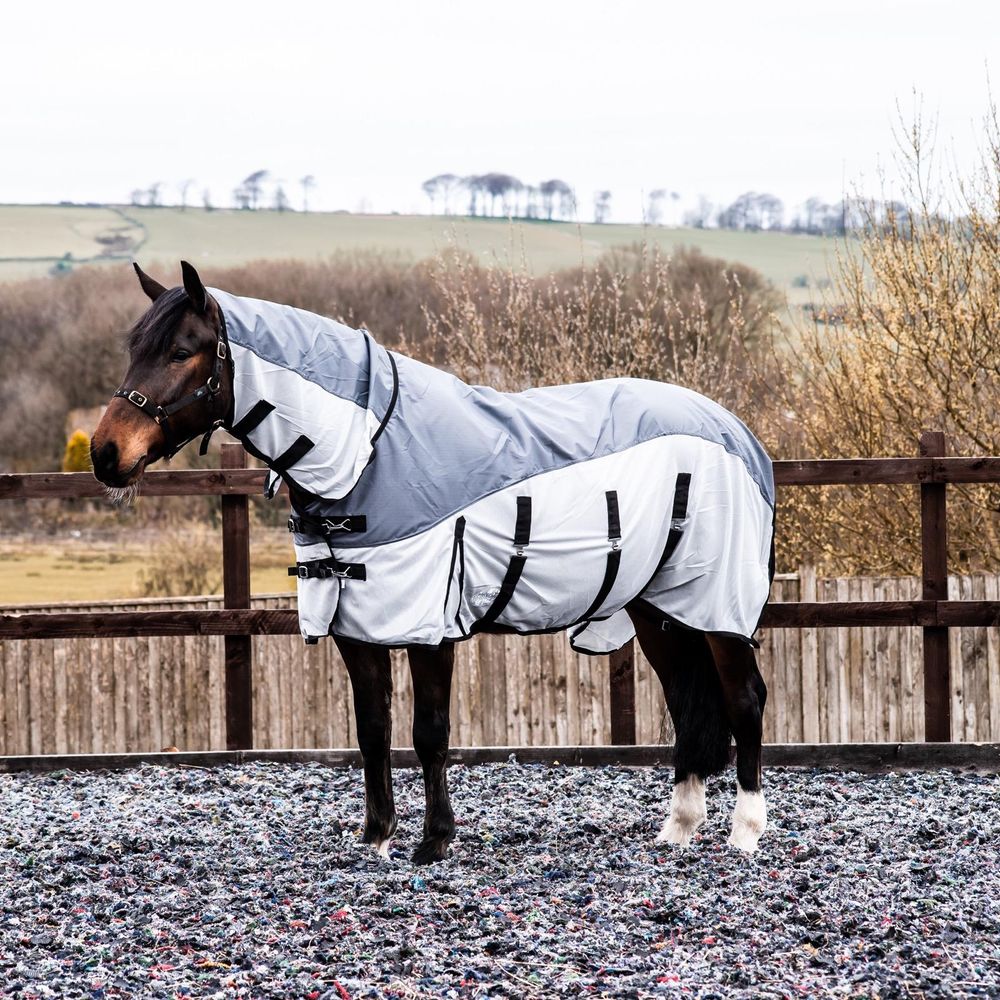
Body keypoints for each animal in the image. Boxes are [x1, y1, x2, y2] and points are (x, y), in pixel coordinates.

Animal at [92, 262, 772, 864]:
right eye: (134, 347)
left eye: (182, 350)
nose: (104, 453)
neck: (368, 449)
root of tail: (736, 432)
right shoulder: (356, 627)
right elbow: (373, 731)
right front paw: (376, 838)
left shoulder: (429, 625)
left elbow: (429, 732)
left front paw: (434, 841)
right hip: (660, 608)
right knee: (686, 701)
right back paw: (678, 829)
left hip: (718, 606)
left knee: (744, 699)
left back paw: (744, 834)